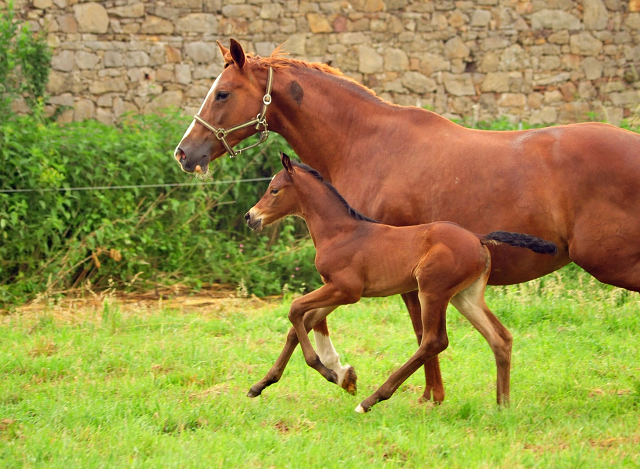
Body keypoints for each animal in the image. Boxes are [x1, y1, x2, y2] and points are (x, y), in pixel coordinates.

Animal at [245, 153, 556, 410]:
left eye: (274, 190)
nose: (250, 217)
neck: (340, 232)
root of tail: (479, 238)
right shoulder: (336, 291)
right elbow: (299, 325)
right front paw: (261, 385)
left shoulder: (346, 290)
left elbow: (295, 310)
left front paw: (332, 373)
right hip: (465, 296)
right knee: (500, 337)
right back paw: (503, 405)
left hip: (432, 291)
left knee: (434, 341)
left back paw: (372, 400)